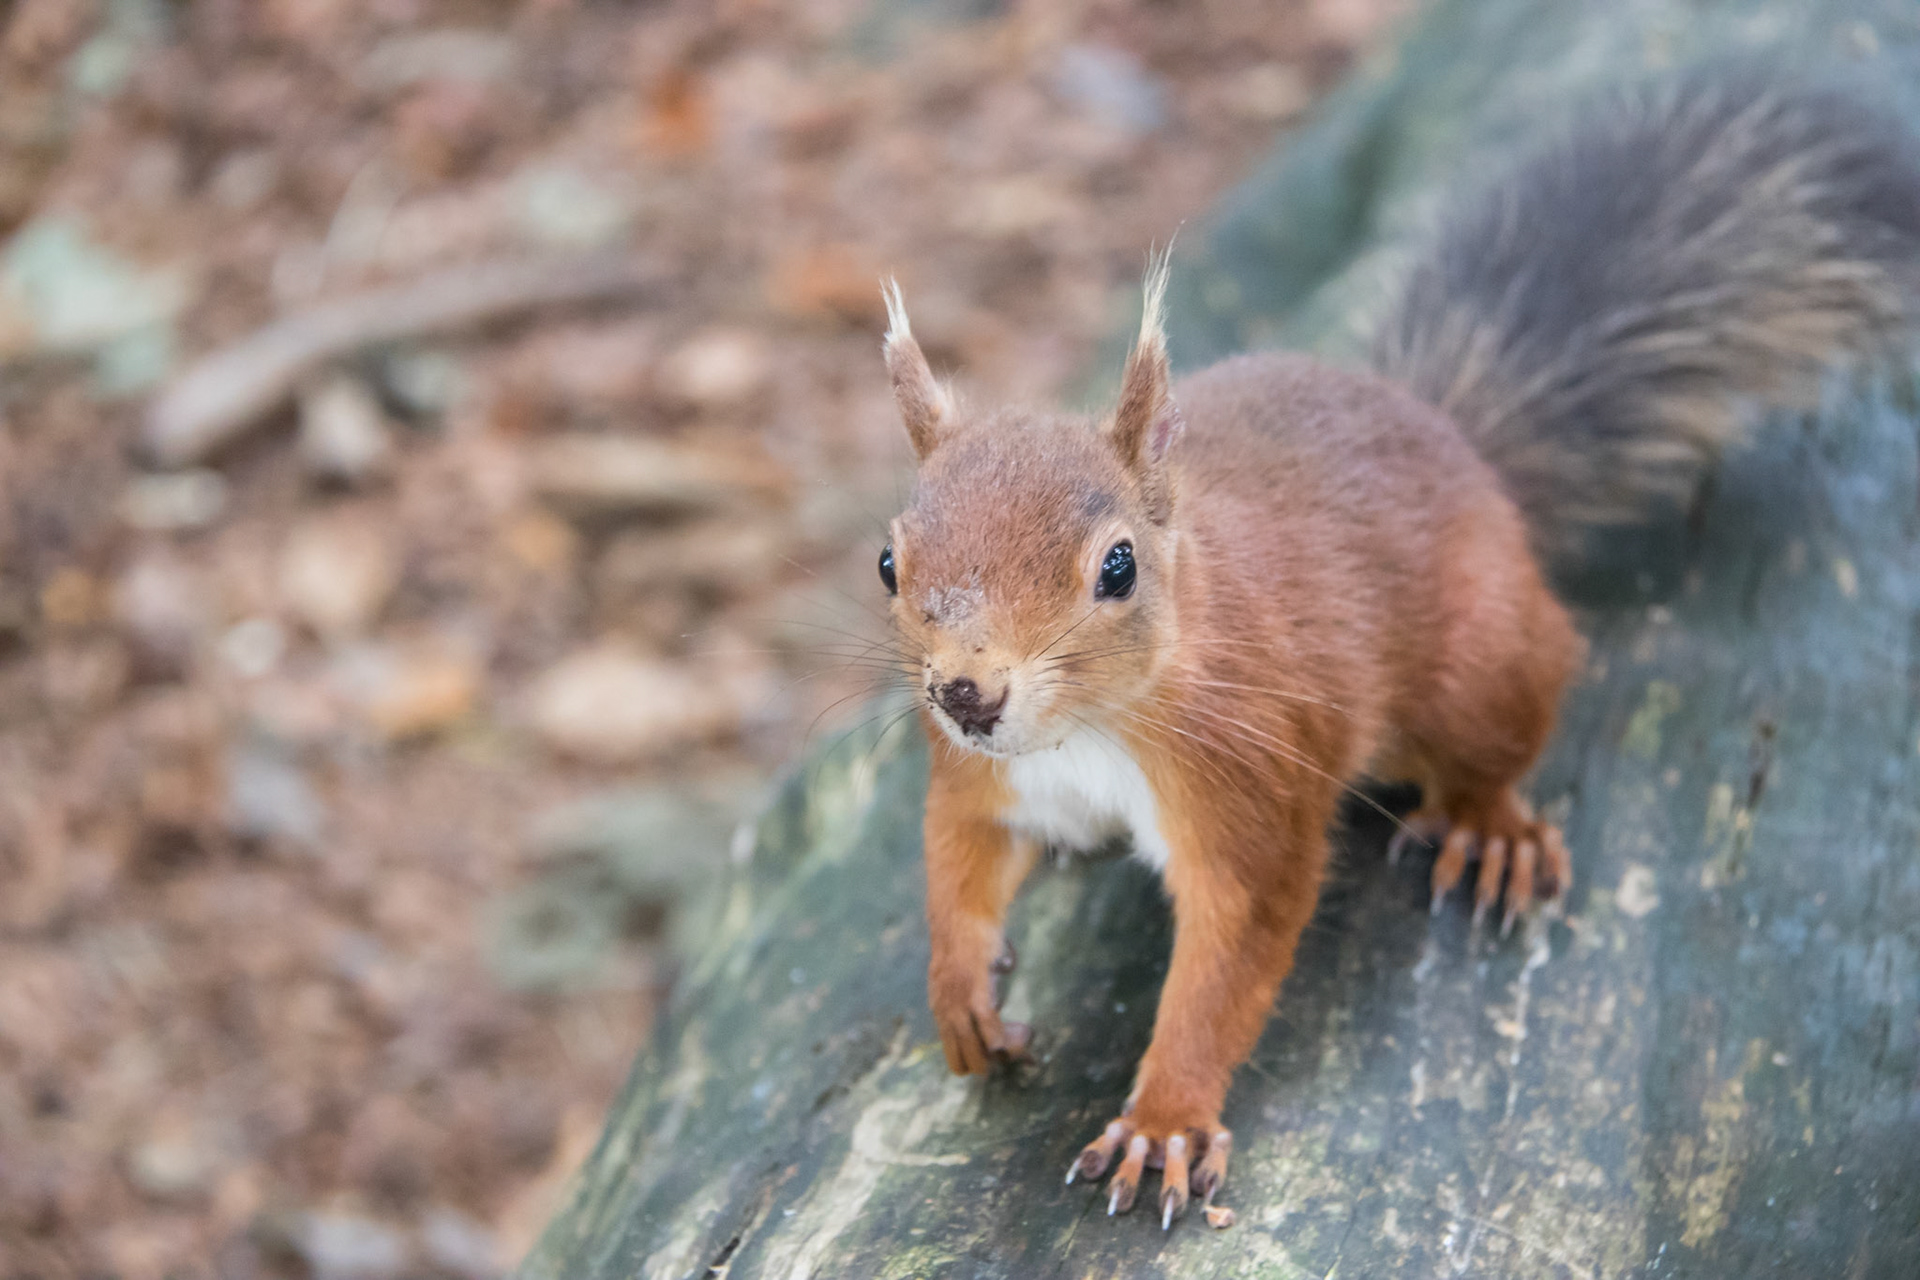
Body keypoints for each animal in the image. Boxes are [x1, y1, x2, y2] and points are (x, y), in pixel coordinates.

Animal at [874, 70, 1920, 1229]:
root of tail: (1463, 450)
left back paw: (1492, 829)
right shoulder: (981, 779)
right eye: (887, 561)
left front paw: (1165, 1118)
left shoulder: (1256, 779)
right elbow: (955, 858)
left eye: (1117, 568)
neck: (1091, 733)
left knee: (1504, 737)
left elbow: (1232, 952)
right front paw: (961, 991)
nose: (968, 692)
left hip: (1481, 667)